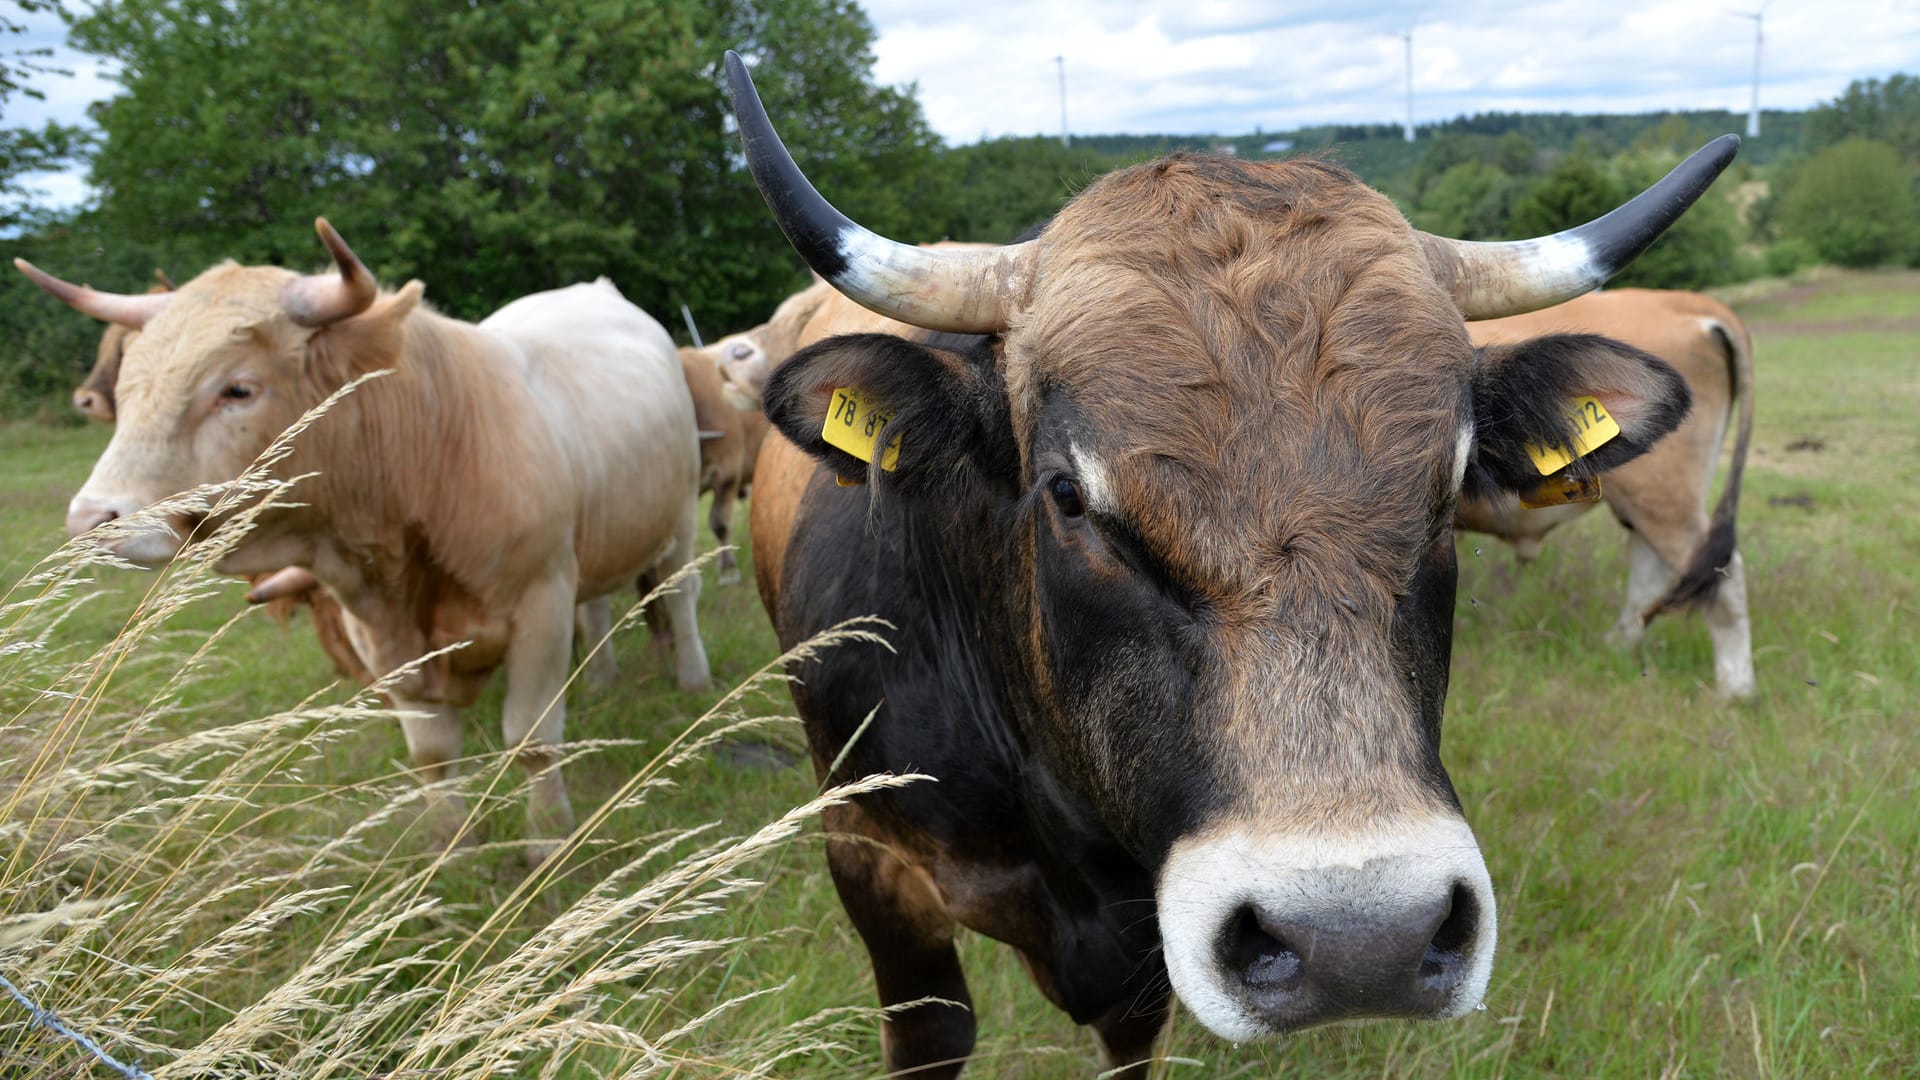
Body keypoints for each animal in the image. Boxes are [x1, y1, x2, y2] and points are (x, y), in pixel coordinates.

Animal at [20, 220, 714, 857]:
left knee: (681, 595)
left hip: (678, 513)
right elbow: (432, 754)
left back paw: (693, 678)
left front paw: (547, 841)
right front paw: (452, 846)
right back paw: (600, 678)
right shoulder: (381, 634)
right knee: (596, 608)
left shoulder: (540, 602)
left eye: (237, 388)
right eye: (128, 387)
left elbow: (532, 739)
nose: (90, 520)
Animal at [1451, 290, 1758, 699]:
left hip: (1667, 499)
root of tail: (1682, 300)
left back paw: (1734, 690)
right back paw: (1617, 645)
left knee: (1724, 575)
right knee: (1652, 567)